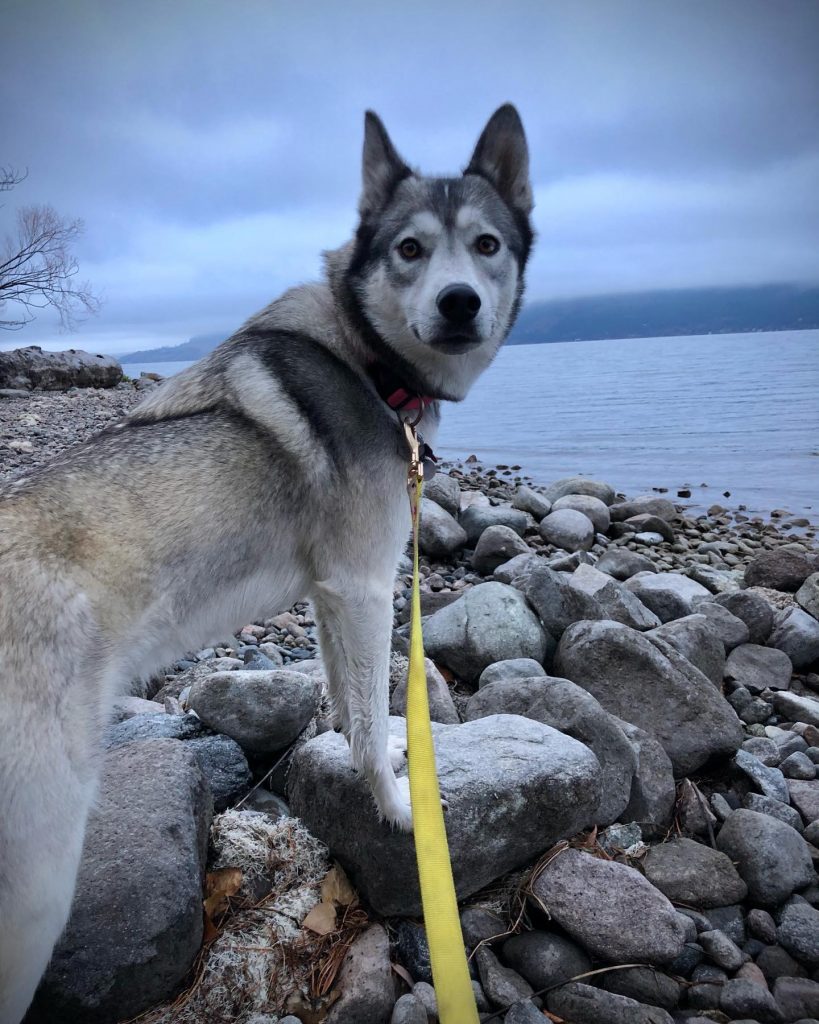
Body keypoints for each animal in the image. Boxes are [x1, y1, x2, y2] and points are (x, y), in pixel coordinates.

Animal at [0, 105, 532, 1024]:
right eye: (409, 249)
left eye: (487, 244)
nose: (459, 303)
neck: (368, 359)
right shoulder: (366, 586)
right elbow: (369, 723)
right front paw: (397, 808)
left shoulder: (327, 594)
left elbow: (345, 703)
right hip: (36, 878)